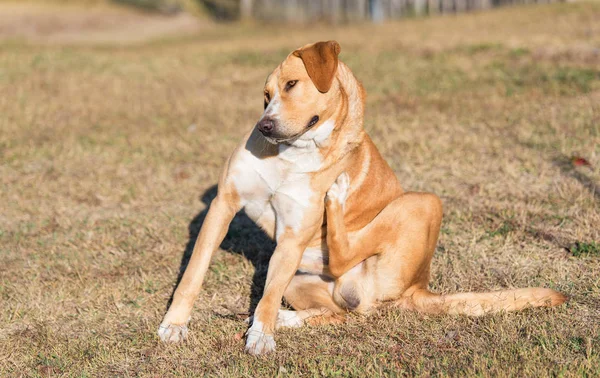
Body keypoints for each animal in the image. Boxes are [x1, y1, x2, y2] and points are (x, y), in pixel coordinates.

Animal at [156, 40, 568, 354]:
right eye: (266, 96)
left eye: (292, 84)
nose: (264, 126)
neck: (292, 154)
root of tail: (418, 288)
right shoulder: (223, 205)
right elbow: (194, 273)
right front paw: (175, 325)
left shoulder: (293, 234)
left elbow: (268, 296)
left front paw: (261, 335)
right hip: (300, 280)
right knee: (337, 313)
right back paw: (284, 318)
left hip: (422, 202)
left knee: (342, 258)